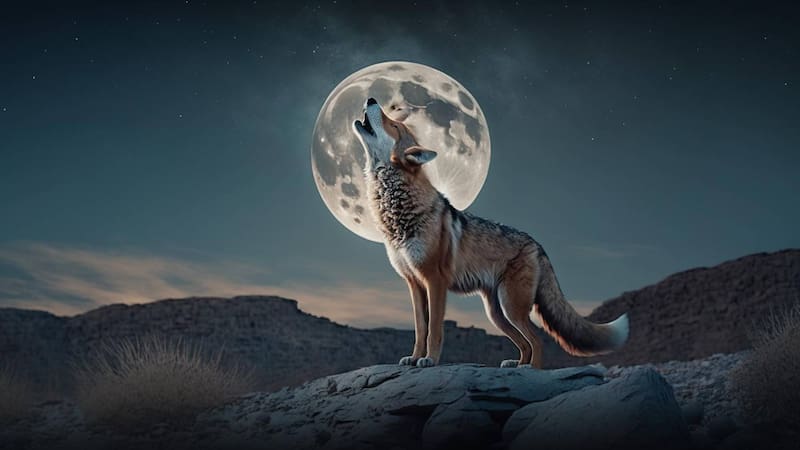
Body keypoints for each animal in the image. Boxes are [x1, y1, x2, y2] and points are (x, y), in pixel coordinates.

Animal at [353, 97, 629, 368]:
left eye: (393, 125)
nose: (371, 99)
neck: (396, 213)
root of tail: (537, 245)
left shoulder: (435, 280)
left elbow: (434, 330)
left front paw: (430, 359)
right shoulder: (414, 282)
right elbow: (421, 329)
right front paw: (414, 358)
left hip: (511, 306)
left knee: (537, 340)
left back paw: (530, 369)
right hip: (496, 313)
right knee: (525, 342)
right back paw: (517, 364)